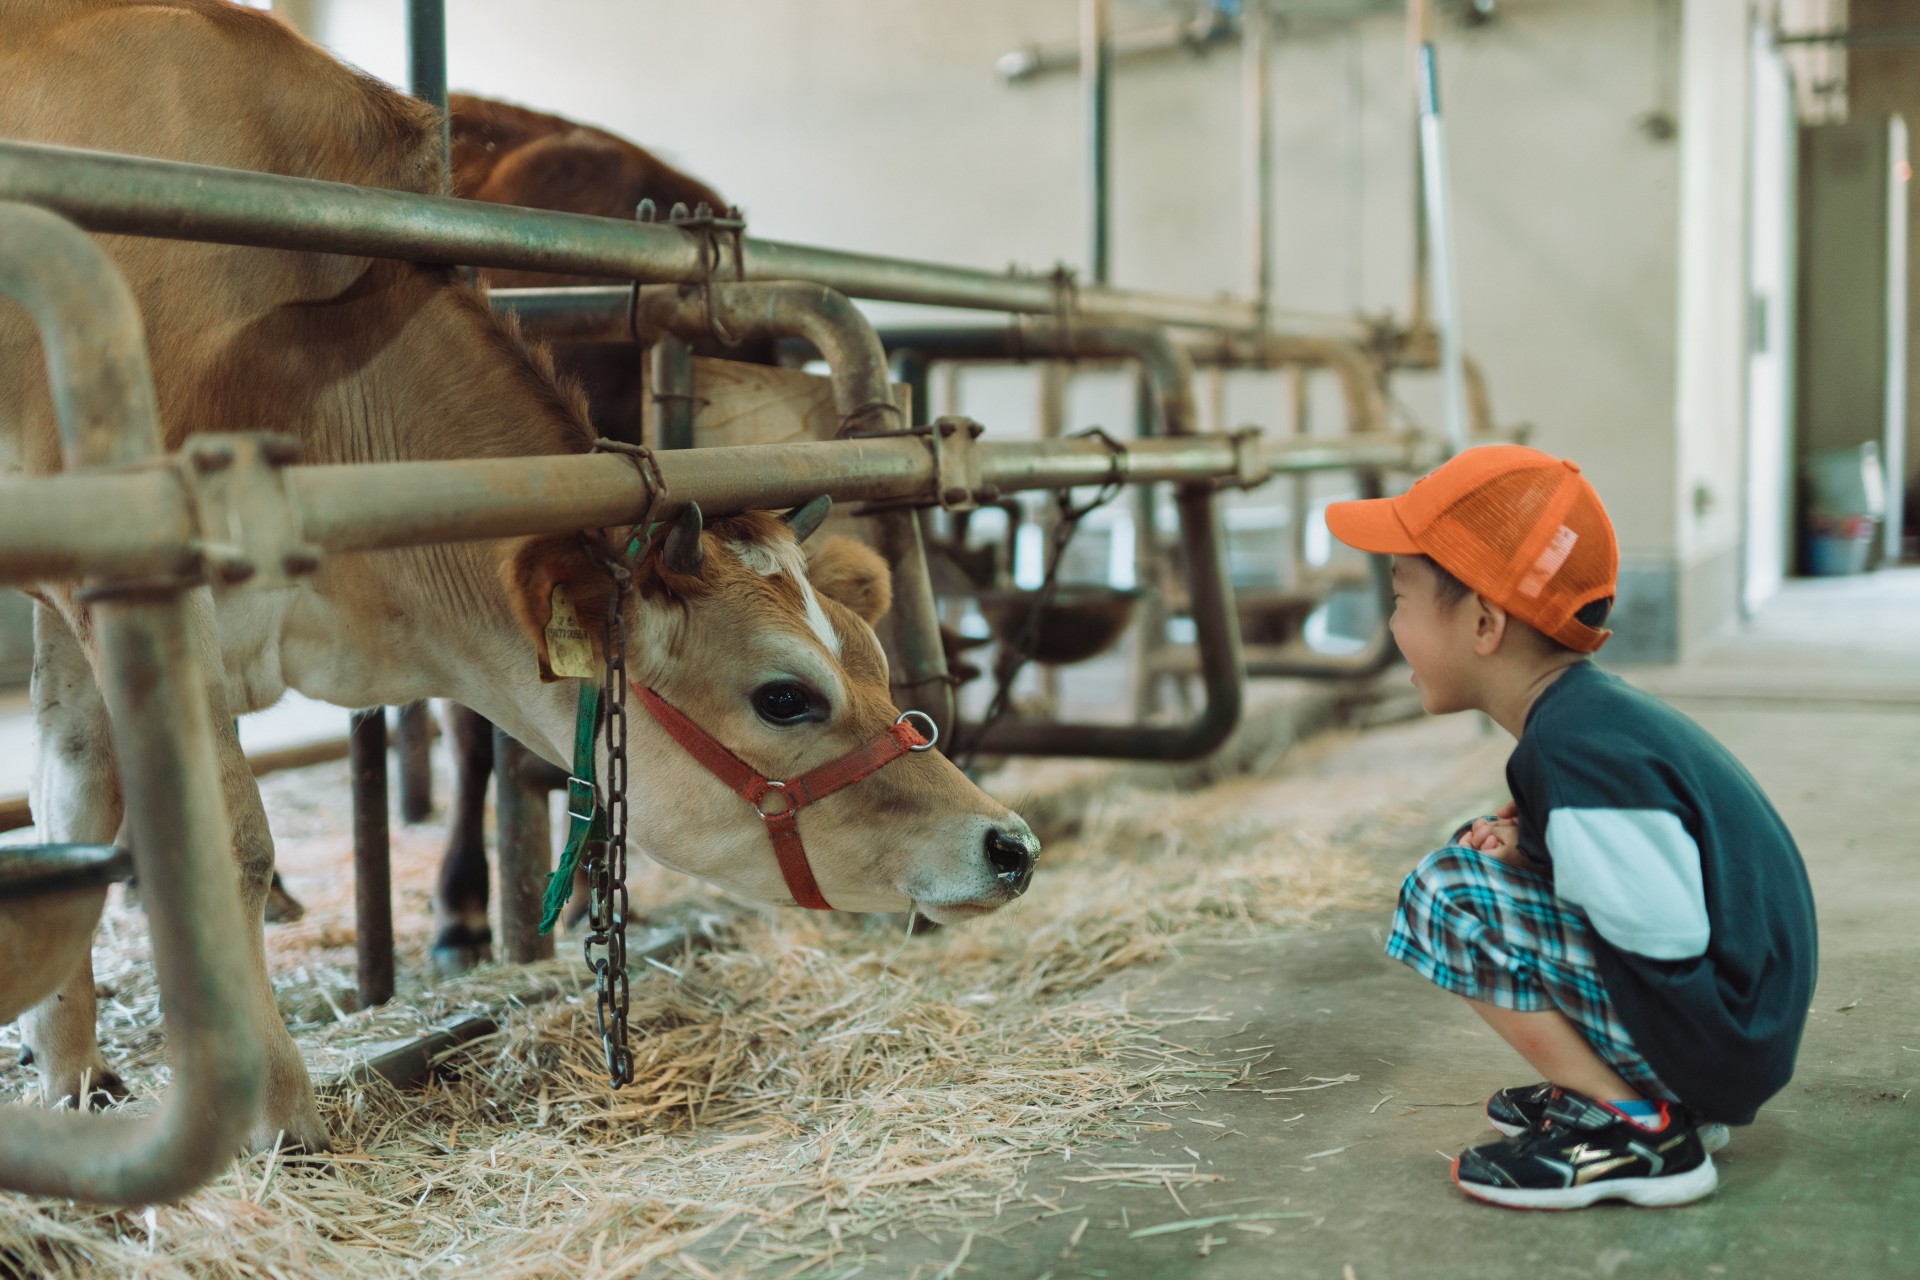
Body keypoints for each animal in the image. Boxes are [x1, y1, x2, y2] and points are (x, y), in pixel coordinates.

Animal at [0, 0, 1044, 1159]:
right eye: (785, 695)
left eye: (869, 655)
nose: (1010, 843)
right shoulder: (138, 573)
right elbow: (226, 840)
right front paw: (272, 1105)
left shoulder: (75, 597)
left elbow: (71, 793)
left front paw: (72, 1071)